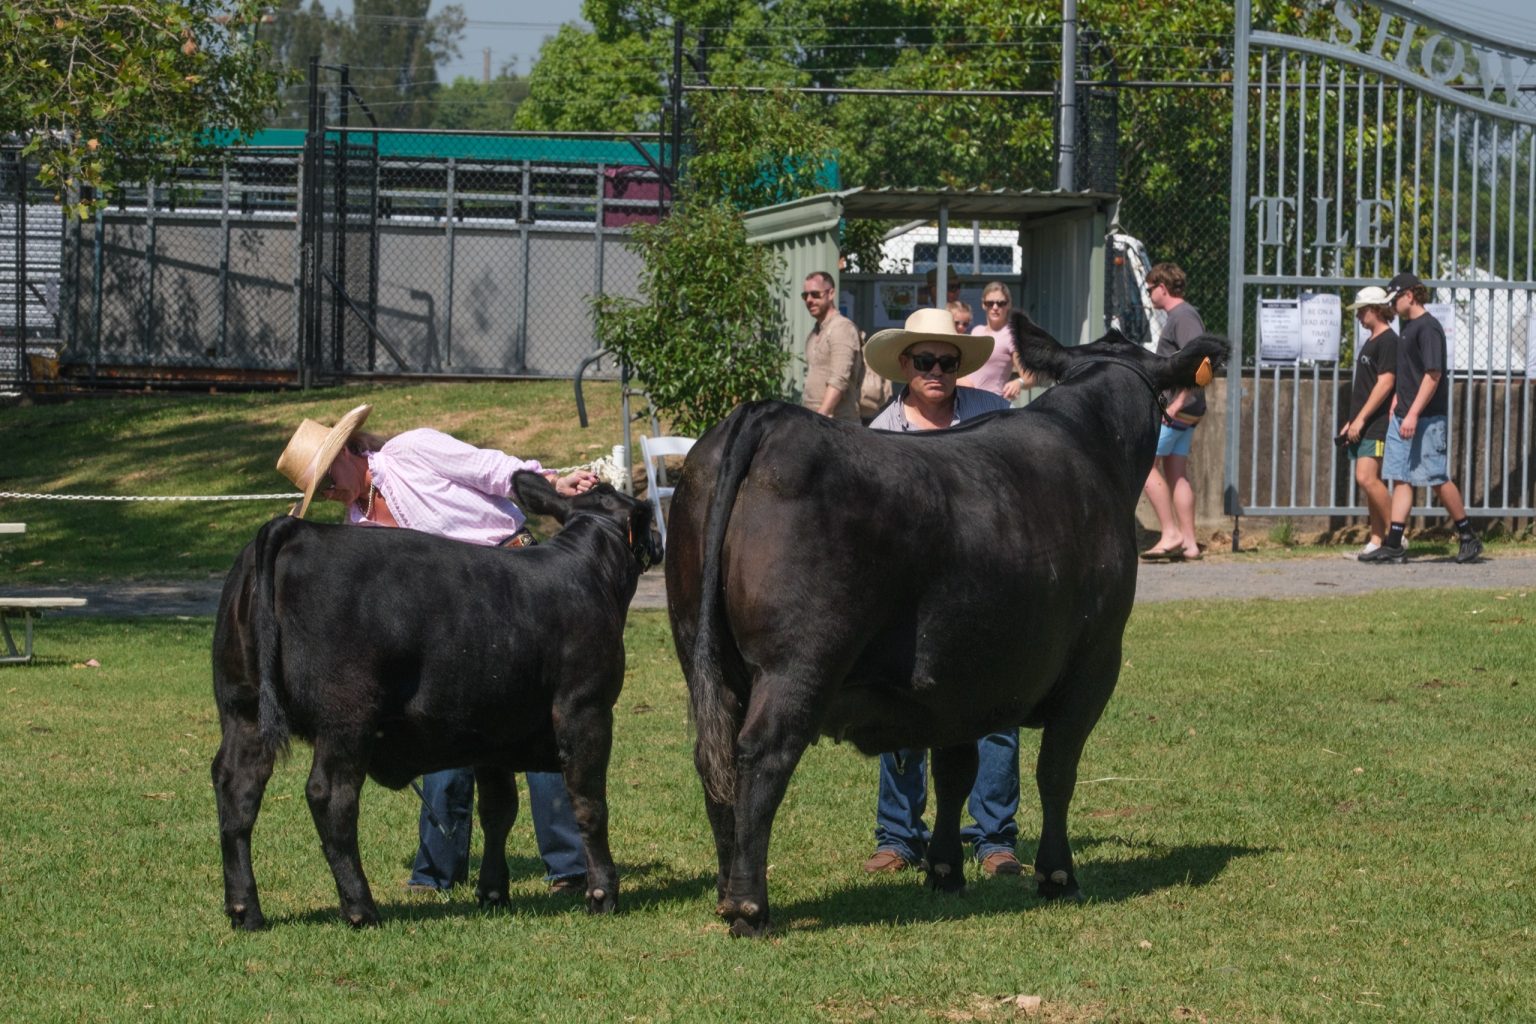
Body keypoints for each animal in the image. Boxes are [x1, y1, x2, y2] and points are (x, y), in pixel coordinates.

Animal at [211, 472, 658, 929]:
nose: (658, 541)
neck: (587, 569)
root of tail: (297, 528)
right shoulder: (585, 709)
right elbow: (588, 803)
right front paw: (602, 893)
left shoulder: (492, 733)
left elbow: (498, 811)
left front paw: (493, 892)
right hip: (346, 718)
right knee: (331, 796)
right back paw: (361, 908)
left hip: (242, 710)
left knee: (237, 790)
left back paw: (245, 910)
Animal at [665, 312, 1225, 936]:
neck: (1091, 444)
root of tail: (766, 415)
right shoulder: (1095, 660)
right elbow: (1057, 771)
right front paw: (1057, 876)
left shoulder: (964, 679)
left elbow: (956, 772)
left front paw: (944, 871)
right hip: (798, 660)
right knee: (762, 754)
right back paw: (749, 905)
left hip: (702, 652)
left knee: (713, 757)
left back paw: (724, 890)